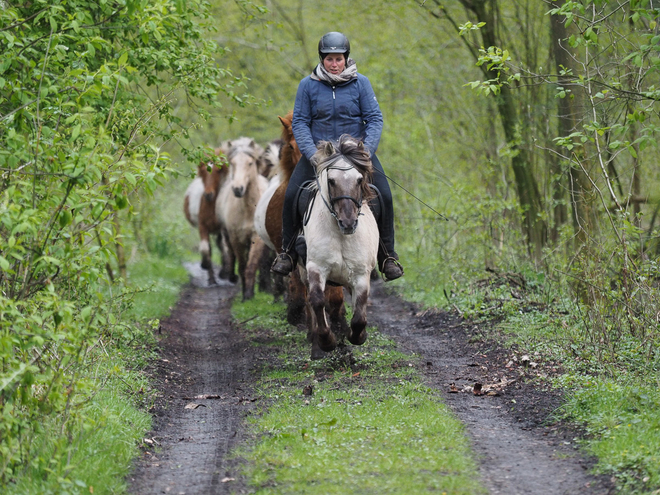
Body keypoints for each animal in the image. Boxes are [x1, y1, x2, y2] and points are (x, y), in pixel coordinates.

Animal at [217, 136, 268, 300]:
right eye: (232, 163)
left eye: (250, 163)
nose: (238, 189)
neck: (248, 210)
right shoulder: (235, 237)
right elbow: (241, 265)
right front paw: (245, 292)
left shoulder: (256, 237)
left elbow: (251, 266)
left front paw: (249, 294)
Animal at [302, 134, 378, 354]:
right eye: (331, 180)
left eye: (360, 179)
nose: (348, 222)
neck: (341, 235)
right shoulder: (316, 267)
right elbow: (317, 300)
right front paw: (327, 340)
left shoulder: (361, 274)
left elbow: (360, 312)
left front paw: (357, 336)